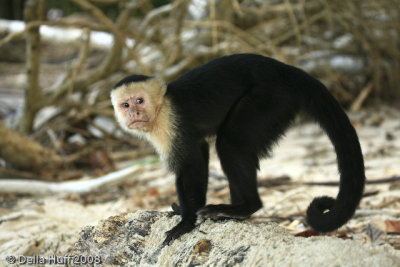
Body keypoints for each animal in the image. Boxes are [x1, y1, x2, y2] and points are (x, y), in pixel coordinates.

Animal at [110, 54, 366, 247]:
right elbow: (200, 153)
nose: (133, 113)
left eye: (140, 101)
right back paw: (232, 213)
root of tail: (284, 70)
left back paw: (246, 206)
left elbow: (190, 164)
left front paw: (185, 222)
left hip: (270, 98)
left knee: (231, 144)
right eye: (125, 104)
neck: (161, 107)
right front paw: (185, 211)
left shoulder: (169, 122)